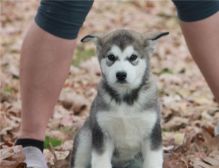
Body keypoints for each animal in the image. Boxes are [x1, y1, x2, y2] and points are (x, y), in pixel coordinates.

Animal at [70, 29, 168, 167]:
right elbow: (101, 163)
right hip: (85, 138)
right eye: (111, 57)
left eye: (133, 57)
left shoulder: (152, 133)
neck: (125, 100)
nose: (121, 74)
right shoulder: (102, 134)